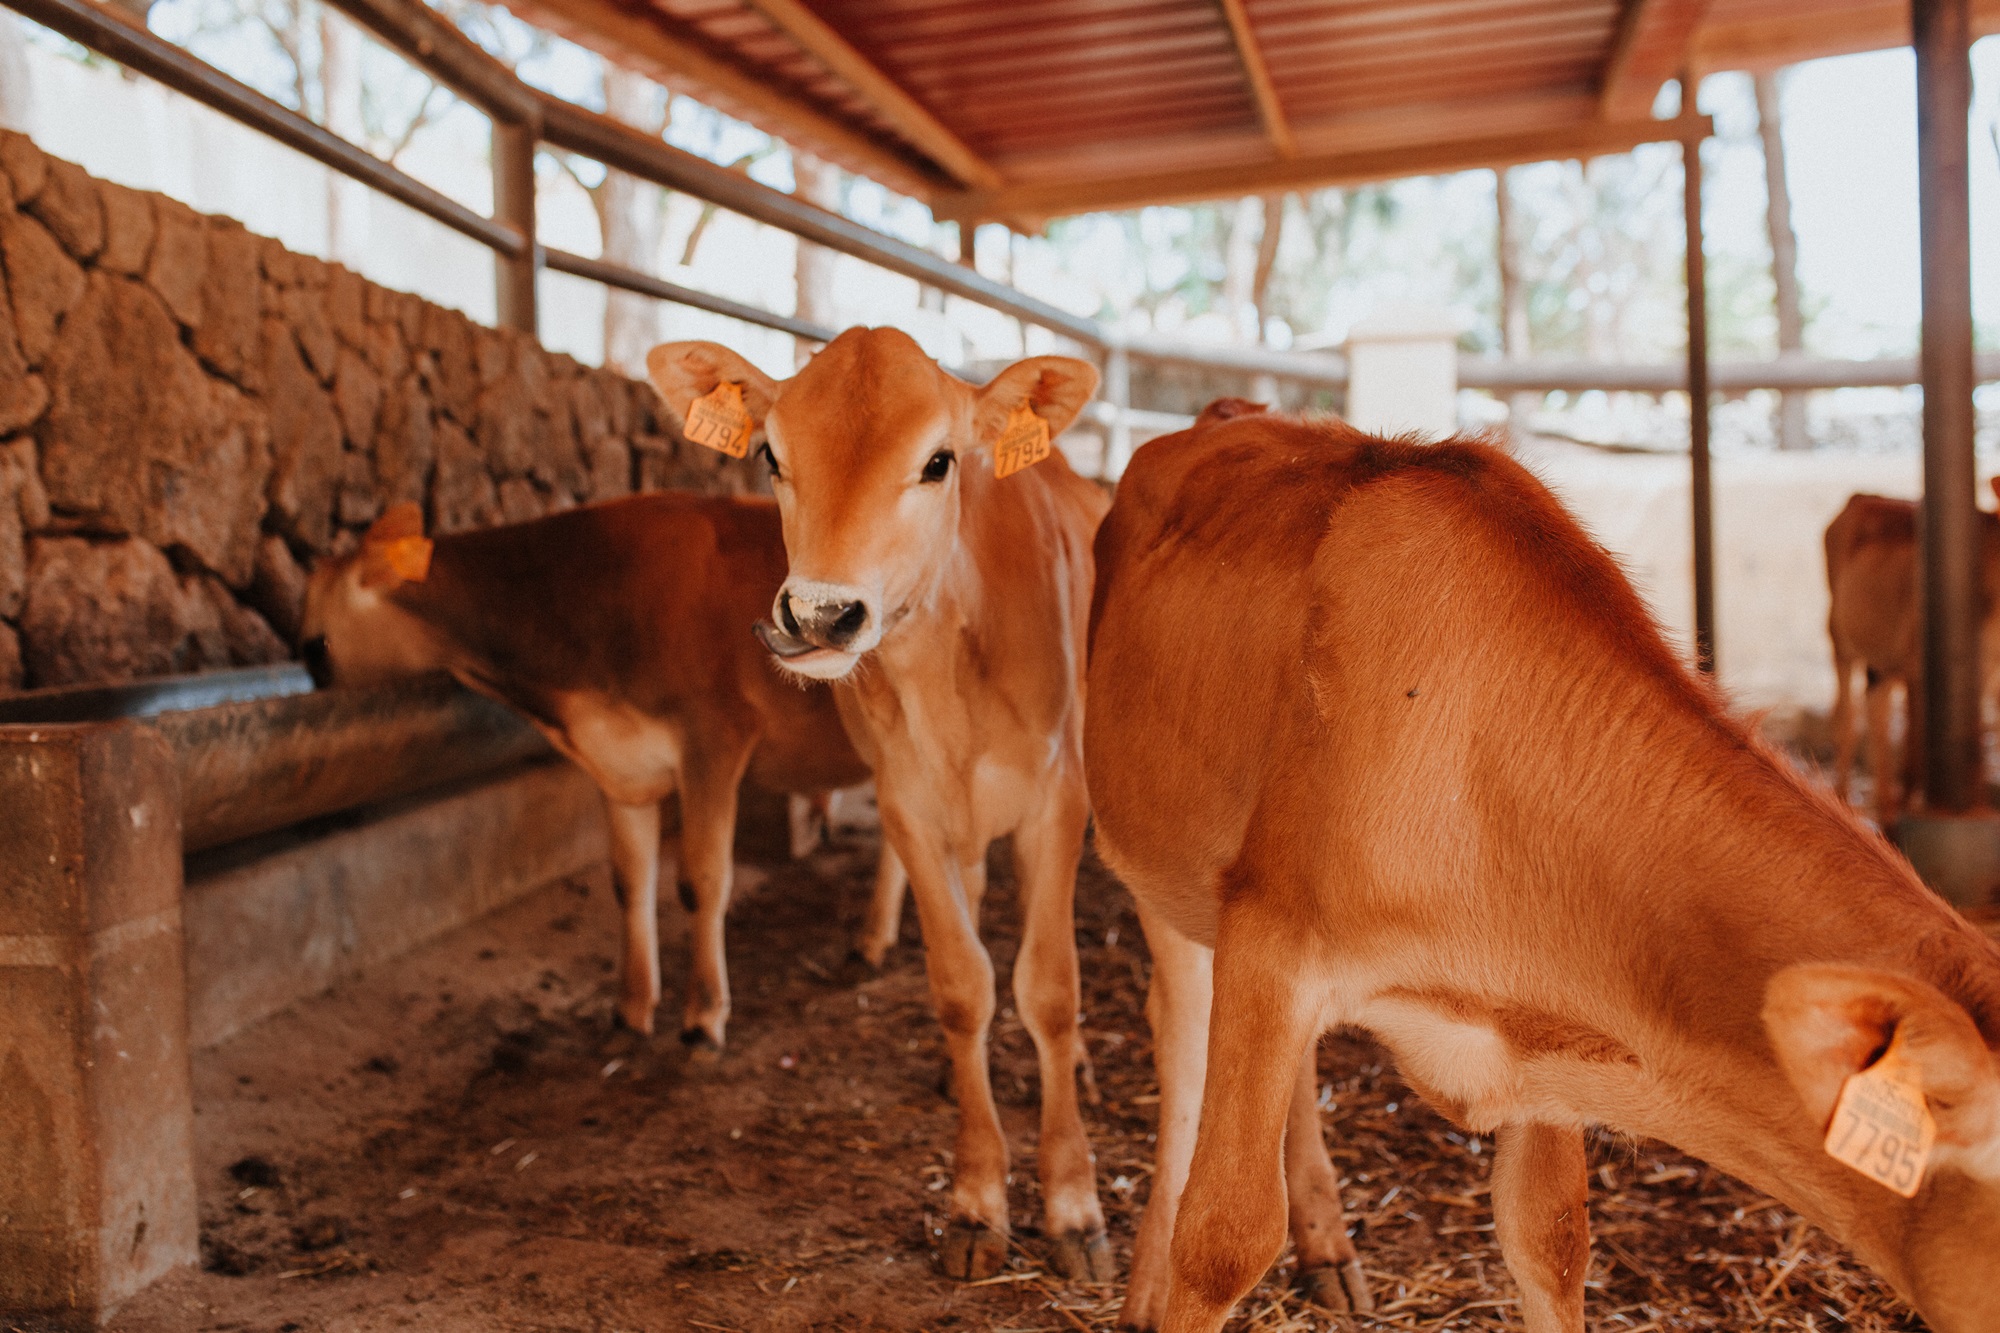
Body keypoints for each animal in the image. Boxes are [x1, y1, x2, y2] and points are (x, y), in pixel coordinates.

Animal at [298, 488, 908, 1048]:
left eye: (315, 646)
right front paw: (632, 1007)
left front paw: (704, 1015)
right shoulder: (622, 766)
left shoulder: (714, 742)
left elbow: (702, 882)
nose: (316, 687)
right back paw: (874, 939)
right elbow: (629, 882)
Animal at [1832, 482, 2000, 824]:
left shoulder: (1988, 669)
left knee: (1876, 709)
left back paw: (1884, 804)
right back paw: (1845, 797)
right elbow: (1916, 742)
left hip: (1883, 663)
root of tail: (1860, 496)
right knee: (1848, 716)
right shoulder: (1918, 666)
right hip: (1838, 635)